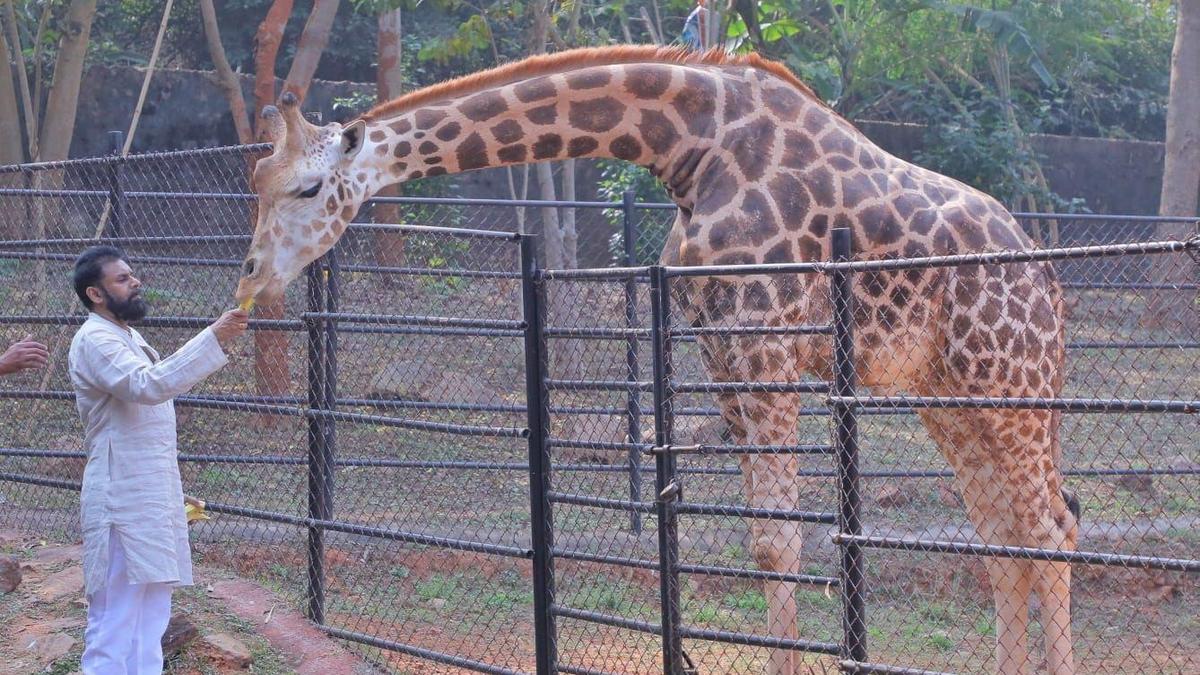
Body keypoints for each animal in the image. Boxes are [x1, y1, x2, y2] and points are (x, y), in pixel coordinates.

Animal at [235, 46, 1077, 675]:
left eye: (307, 187)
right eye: (255, 183)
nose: (251, 280)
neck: (690, 146)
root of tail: (1046, 275)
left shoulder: (764, 337)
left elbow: (780, 539)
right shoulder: (718, 346)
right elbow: (758, 536)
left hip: (1010, 378)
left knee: (1050, 525)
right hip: (950, 393)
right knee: (1003, 534)